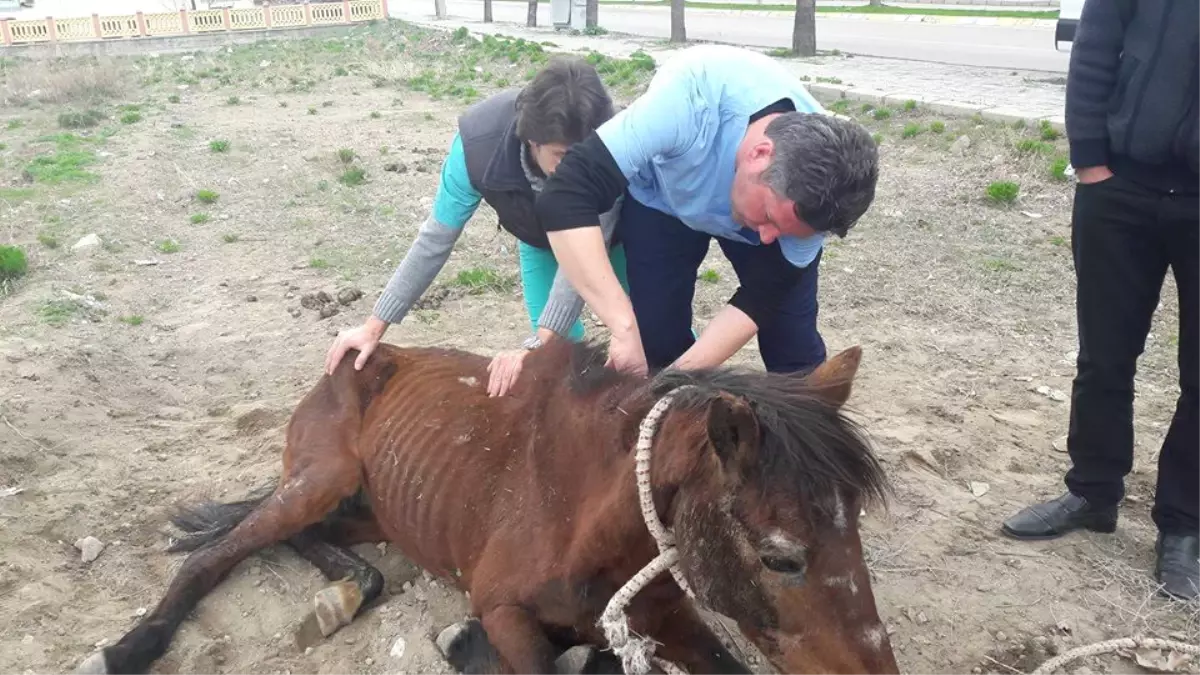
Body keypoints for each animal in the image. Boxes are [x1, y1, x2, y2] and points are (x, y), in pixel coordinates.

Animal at [72, 338, 902, 672]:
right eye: (780, 556)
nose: (874, 671)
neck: (585, 515)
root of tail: (361, 354)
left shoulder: (670, 615)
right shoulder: (504, 608)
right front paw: (464, 643)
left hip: (375, 505)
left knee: (312, 539)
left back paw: (345, 590)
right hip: (322, 475)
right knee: (224, 549)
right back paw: (126, 648)